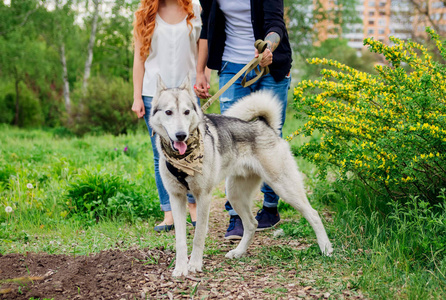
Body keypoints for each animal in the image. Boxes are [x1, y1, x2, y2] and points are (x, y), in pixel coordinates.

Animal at [149, 75, 332, 276]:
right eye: (168, 112)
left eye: (186, 111)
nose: (181, 135)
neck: (184, 159)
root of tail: (264, 125)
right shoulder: (176, 197)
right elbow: (180, 240)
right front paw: (180, 268)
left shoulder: (203, 197)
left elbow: (198, 237)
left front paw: (195, 264)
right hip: (235, 194)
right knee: (251, 224)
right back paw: (239, 251)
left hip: (284, 187)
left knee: (313, 214)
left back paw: (326, 248)